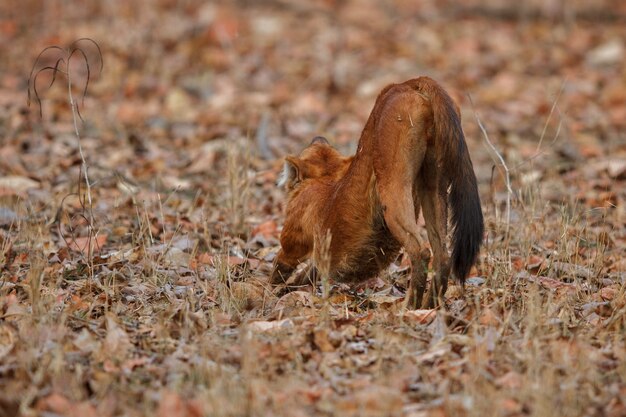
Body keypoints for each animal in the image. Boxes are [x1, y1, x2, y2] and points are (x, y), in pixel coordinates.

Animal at [270, 76, 482, 308]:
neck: (325, 180)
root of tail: (409, 83)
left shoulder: (292, 243)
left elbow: (278, 269)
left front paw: (270, 293)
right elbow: (305, 275)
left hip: (393, 189)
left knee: (420, 251)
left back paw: (408, 308)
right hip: (433, 186)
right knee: (443, 256)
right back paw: (429, 308)